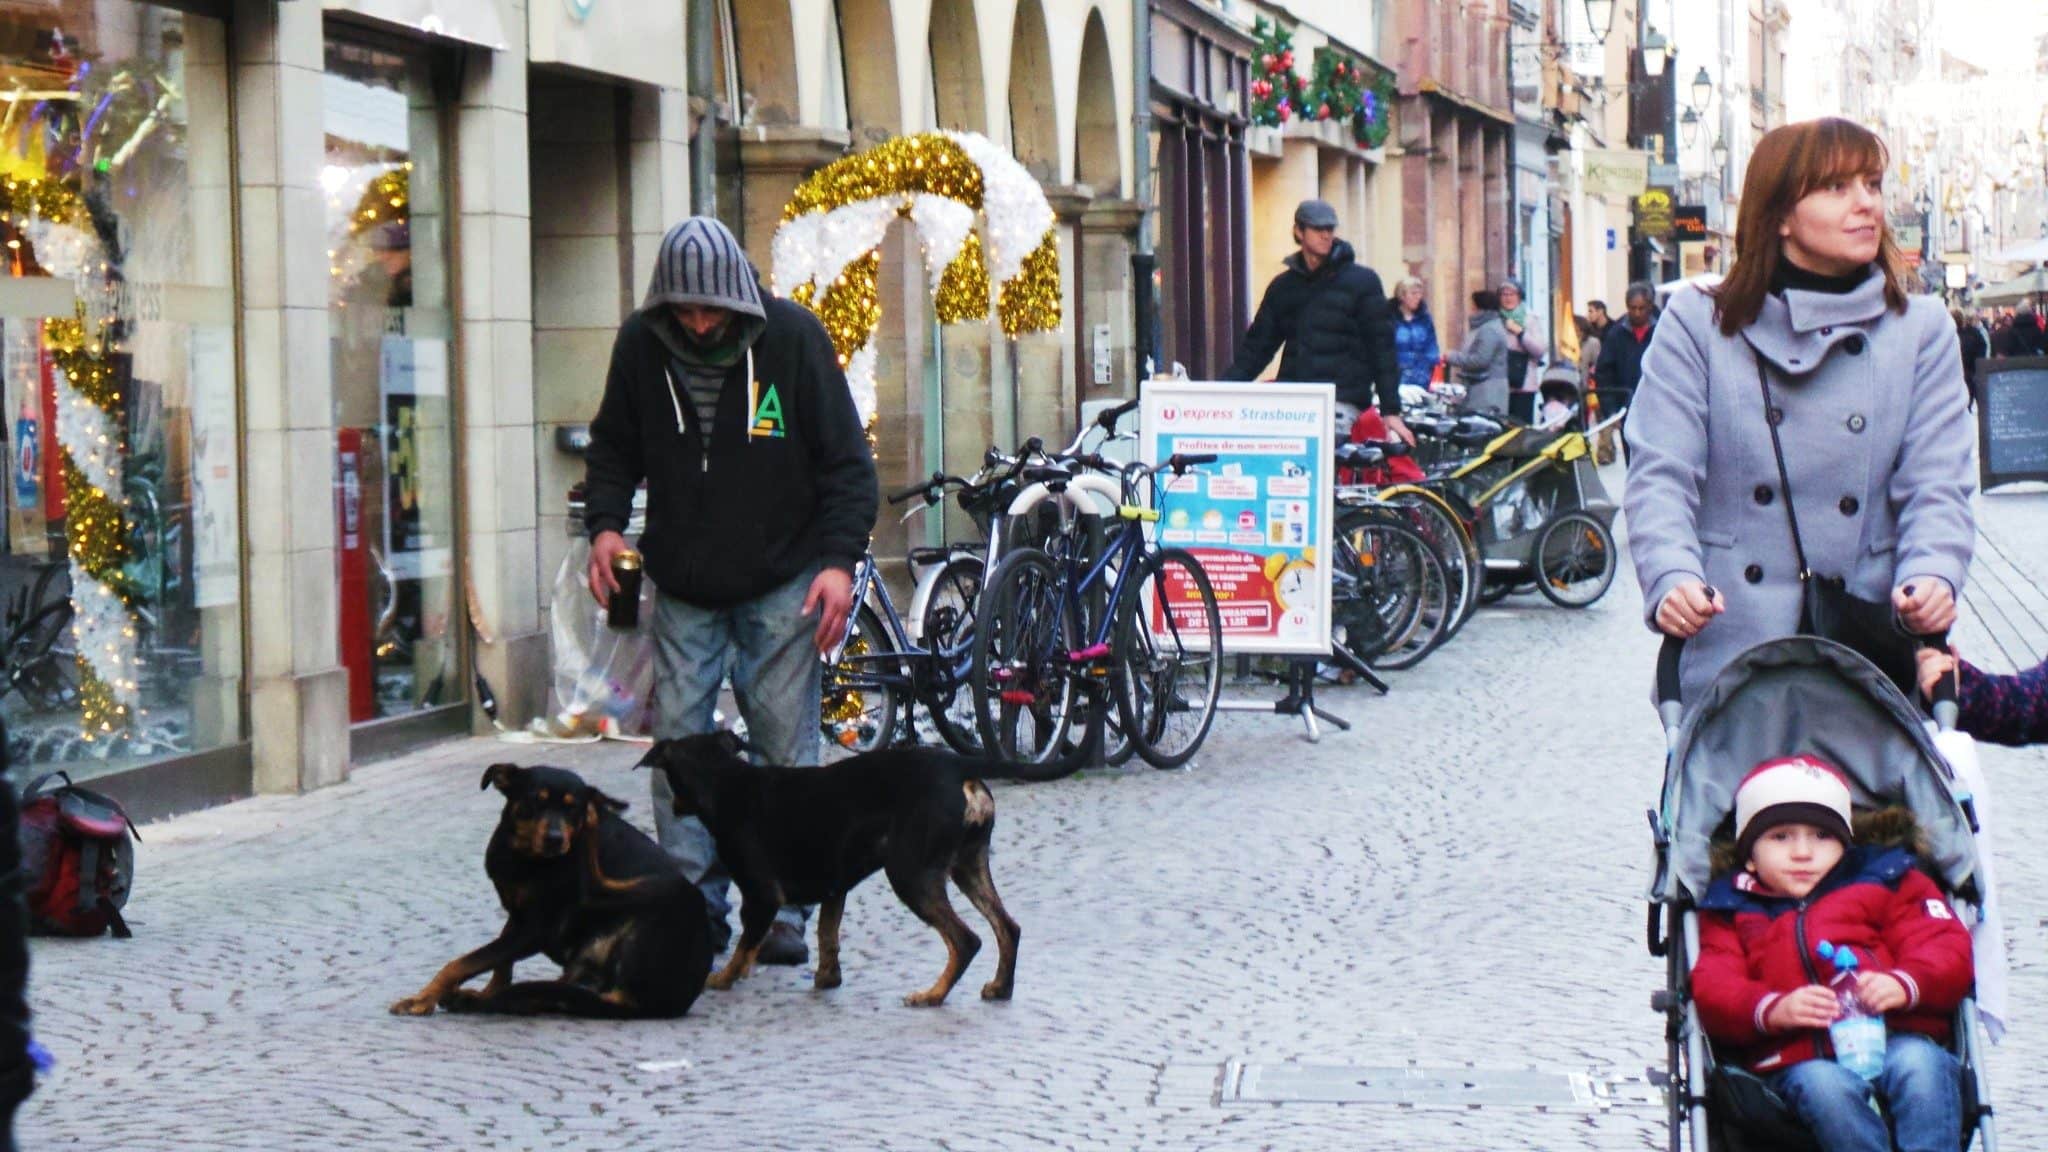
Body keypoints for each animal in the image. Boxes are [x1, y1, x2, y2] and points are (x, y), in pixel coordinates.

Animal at [389, 762, 712, 1012]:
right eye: (536, 800)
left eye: (572, 808)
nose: (556, 839)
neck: (523, 856)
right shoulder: (517, 917)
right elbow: (499, 962)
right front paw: (486, 991)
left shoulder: (534, 929)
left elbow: (464, 963)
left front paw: (422, 999)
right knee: (554, 993)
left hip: (667, 889)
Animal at [647, 729, 1081, 1000]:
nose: (674, 806)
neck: (726, 781)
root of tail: (959, 766)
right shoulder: (835, 884)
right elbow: (827, 933)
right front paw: (827, 979)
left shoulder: (762, 894)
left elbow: (744, 946)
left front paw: (722, 978)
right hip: (968, 865)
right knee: (1007, 927)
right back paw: (999, 988)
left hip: (910, 874)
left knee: (965, 940)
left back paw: (931, 995)